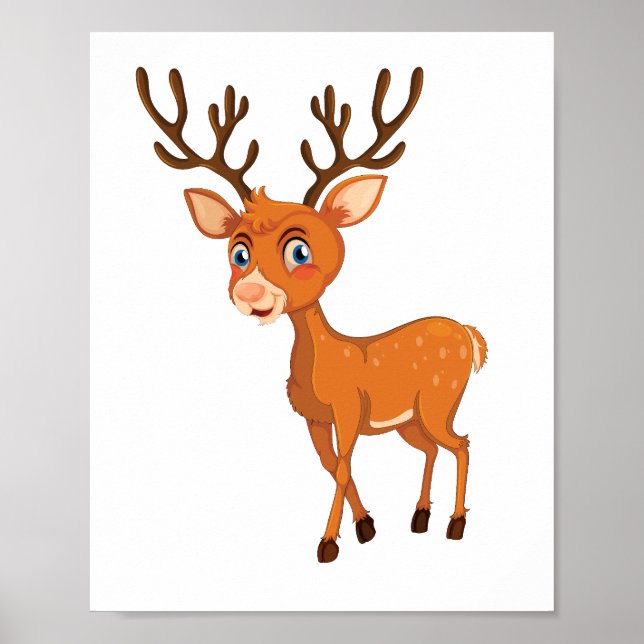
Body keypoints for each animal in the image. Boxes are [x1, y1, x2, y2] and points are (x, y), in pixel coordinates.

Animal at [136, 66, 487, 563]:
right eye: (239, 252)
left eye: (300, 251)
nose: (249, 292)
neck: (323, 368)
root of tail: (469, 334)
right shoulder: (315, 417)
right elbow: (330, 465)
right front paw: (366, 527)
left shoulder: (348, 406)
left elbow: (342, 466)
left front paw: (328, 543)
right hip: (410, 419)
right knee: (432, 450)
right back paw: (420, 517)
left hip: (441, 399)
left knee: (462, 443)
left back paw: (455, 524)